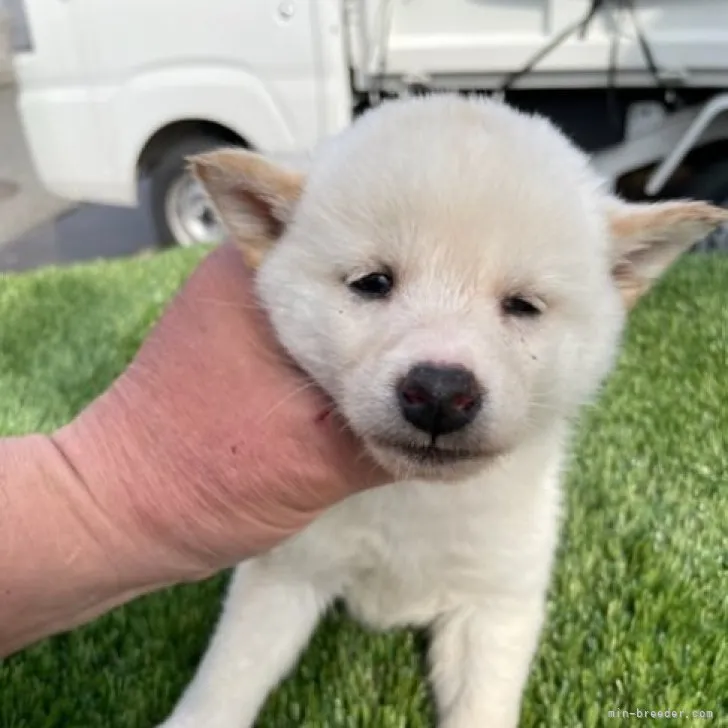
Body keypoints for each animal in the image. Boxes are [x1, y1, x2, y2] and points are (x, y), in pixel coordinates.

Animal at [156, 96, 724, 728]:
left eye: (523, 305)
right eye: (373, 282)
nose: (439, 393)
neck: (416, 502)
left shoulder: (496, 605)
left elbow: (482, 706)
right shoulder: (286, 572)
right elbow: (227, 680)